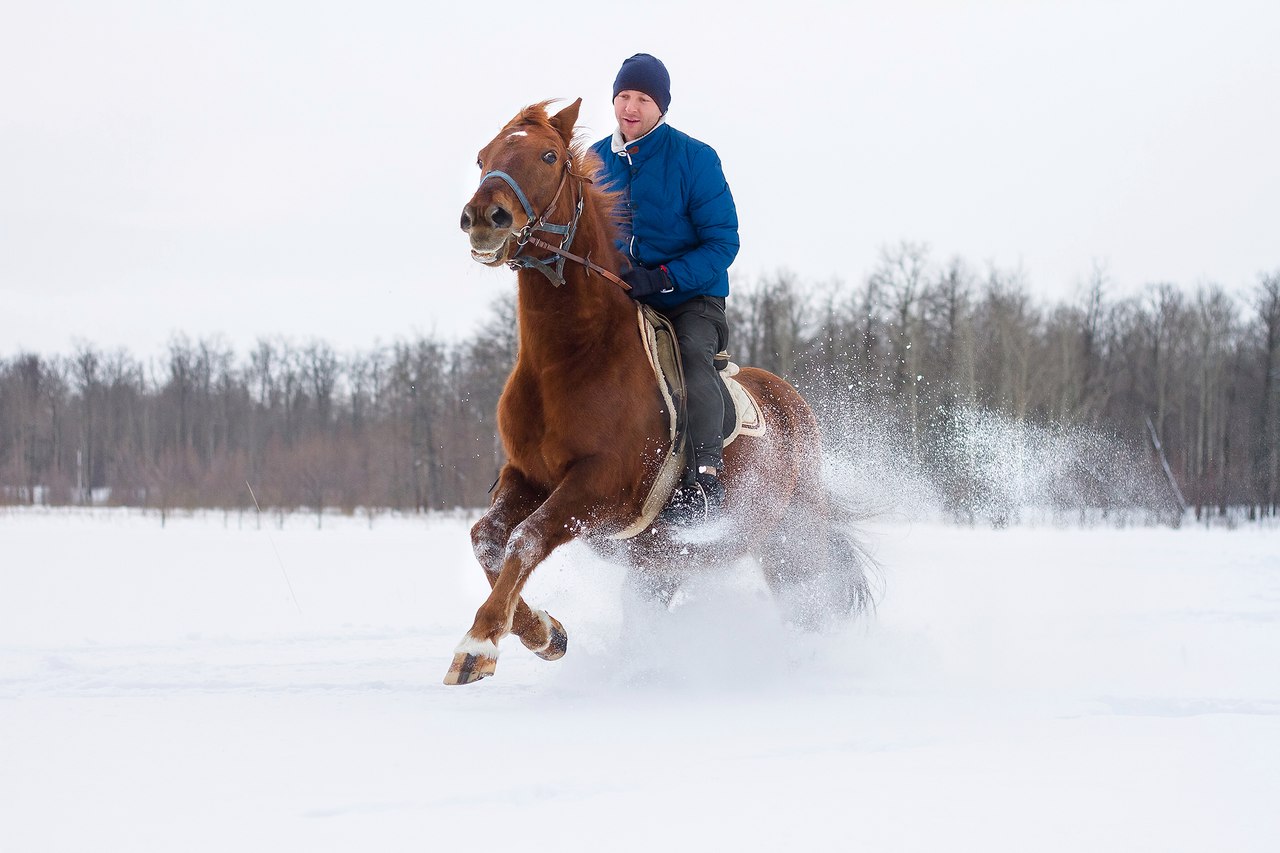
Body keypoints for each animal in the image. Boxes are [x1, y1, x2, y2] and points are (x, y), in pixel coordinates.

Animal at [445, 97, 875, 686]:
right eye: (482, 156)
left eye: (549, 155)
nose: (484, 218)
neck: (570, 360)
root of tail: (794, 405)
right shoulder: (528, 476)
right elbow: (487, 538)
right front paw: (546, 633)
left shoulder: (599, 488)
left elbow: (526, 538)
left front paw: (478, 644)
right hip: (663, 561)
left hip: (785, 537)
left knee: (806, 598)